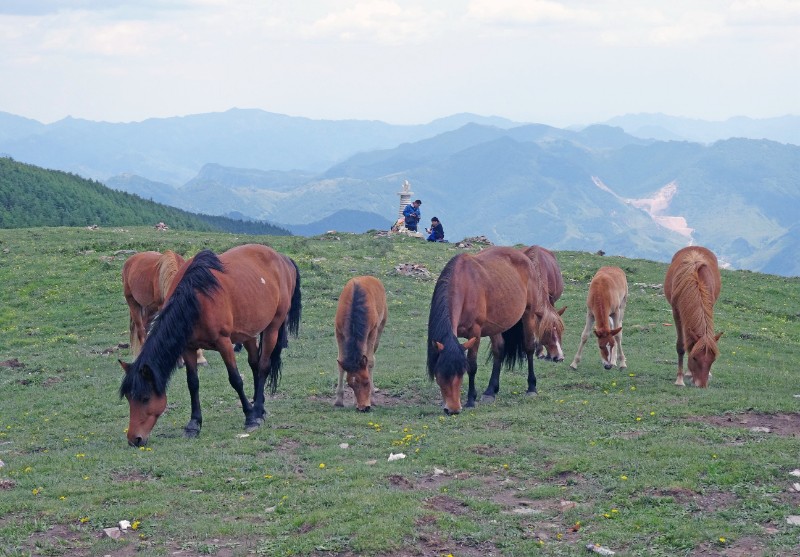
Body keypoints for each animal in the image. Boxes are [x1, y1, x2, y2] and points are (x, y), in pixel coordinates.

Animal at [119, 244, 304, 448]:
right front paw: (194, 424)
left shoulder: (224, 342)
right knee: (255, 365)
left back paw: (257, 410)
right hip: (247, 333)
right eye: (129, 398)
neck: (196, 298)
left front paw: (249, 416)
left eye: (145, 398)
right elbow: (193, 383)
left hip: (273, 327)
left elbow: (235, 380)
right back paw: (259, 407)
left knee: (263, 367)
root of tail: (283, 259)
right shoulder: (188, 347)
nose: (134, 439)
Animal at [334, 276, 388, 410]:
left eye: (367, 381)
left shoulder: (372, 331)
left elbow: (370, 362)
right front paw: (339, 400)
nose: (364, 407)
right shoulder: (338, 332)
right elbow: (341, 362)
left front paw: (371, 398)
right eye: (351, 384)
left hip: (380, 327)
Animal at [424, 244, 544, 412]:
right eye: (439, 374)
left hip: (528, 314)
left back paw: (532, 388)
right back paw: (490, 391)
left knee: (529, 347)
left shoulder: (475, 332)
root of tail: (525, 256)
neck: (464, 285)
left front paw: (470, 400)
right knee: (499, 350)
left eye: (460, 374)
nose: (453, 410)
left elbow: (472, 365)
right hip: (497, 324)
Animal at [664, 245, 724, 384]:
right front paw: (680, 379)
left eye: (713, 360)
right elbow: (681, 345)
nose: (702, 385)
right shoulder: (677, 313)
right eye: (695, 358)